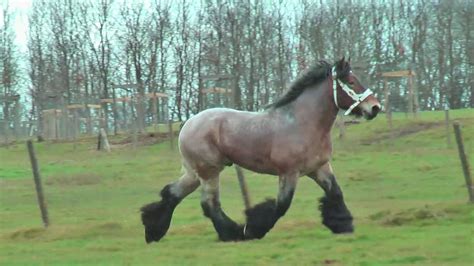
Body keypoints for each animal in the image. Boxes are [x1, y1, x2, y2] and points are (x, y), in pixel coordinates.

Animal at [141, 57, 382, 243]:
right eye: (351, 81)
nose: (375, 107)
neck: (302, 123)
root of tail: (188, 124)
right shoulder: (289, 173)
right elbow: (281, 205)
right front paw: (253, 229)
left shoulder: (319, 168)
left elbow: (336, 193)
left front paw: (343, 225)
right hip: (209, 171)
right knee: (210, 204)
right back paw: (233, 233)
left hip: (195, 172)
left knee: (173, 193)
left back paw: (153, 230)